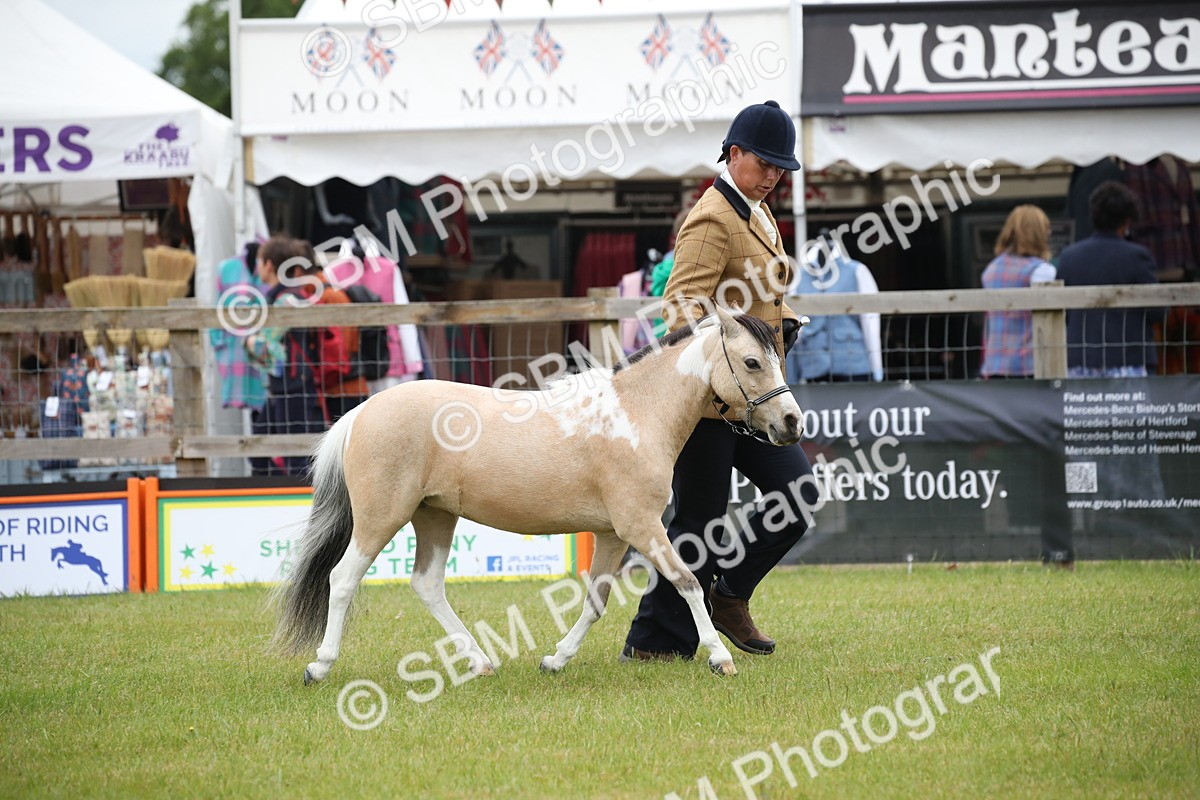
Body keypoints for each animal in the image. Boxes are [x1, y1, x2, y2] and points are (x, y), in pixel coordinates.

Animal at [272, 306, 803, 683]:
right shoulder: (642, 527)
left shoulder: (614, 534)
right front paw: (720, 658)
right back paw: (319, 666)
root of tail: (361, 412)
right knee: (342, 579)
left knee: (426, 584)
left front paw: (555, 660)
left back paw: (480, 662)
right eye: (752, 362)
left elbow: (595, 601)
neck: (636, 414)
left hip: (434, 516)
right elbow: (688, 582)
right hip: (381, 517)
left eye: (780, 358)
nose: (792, 423)